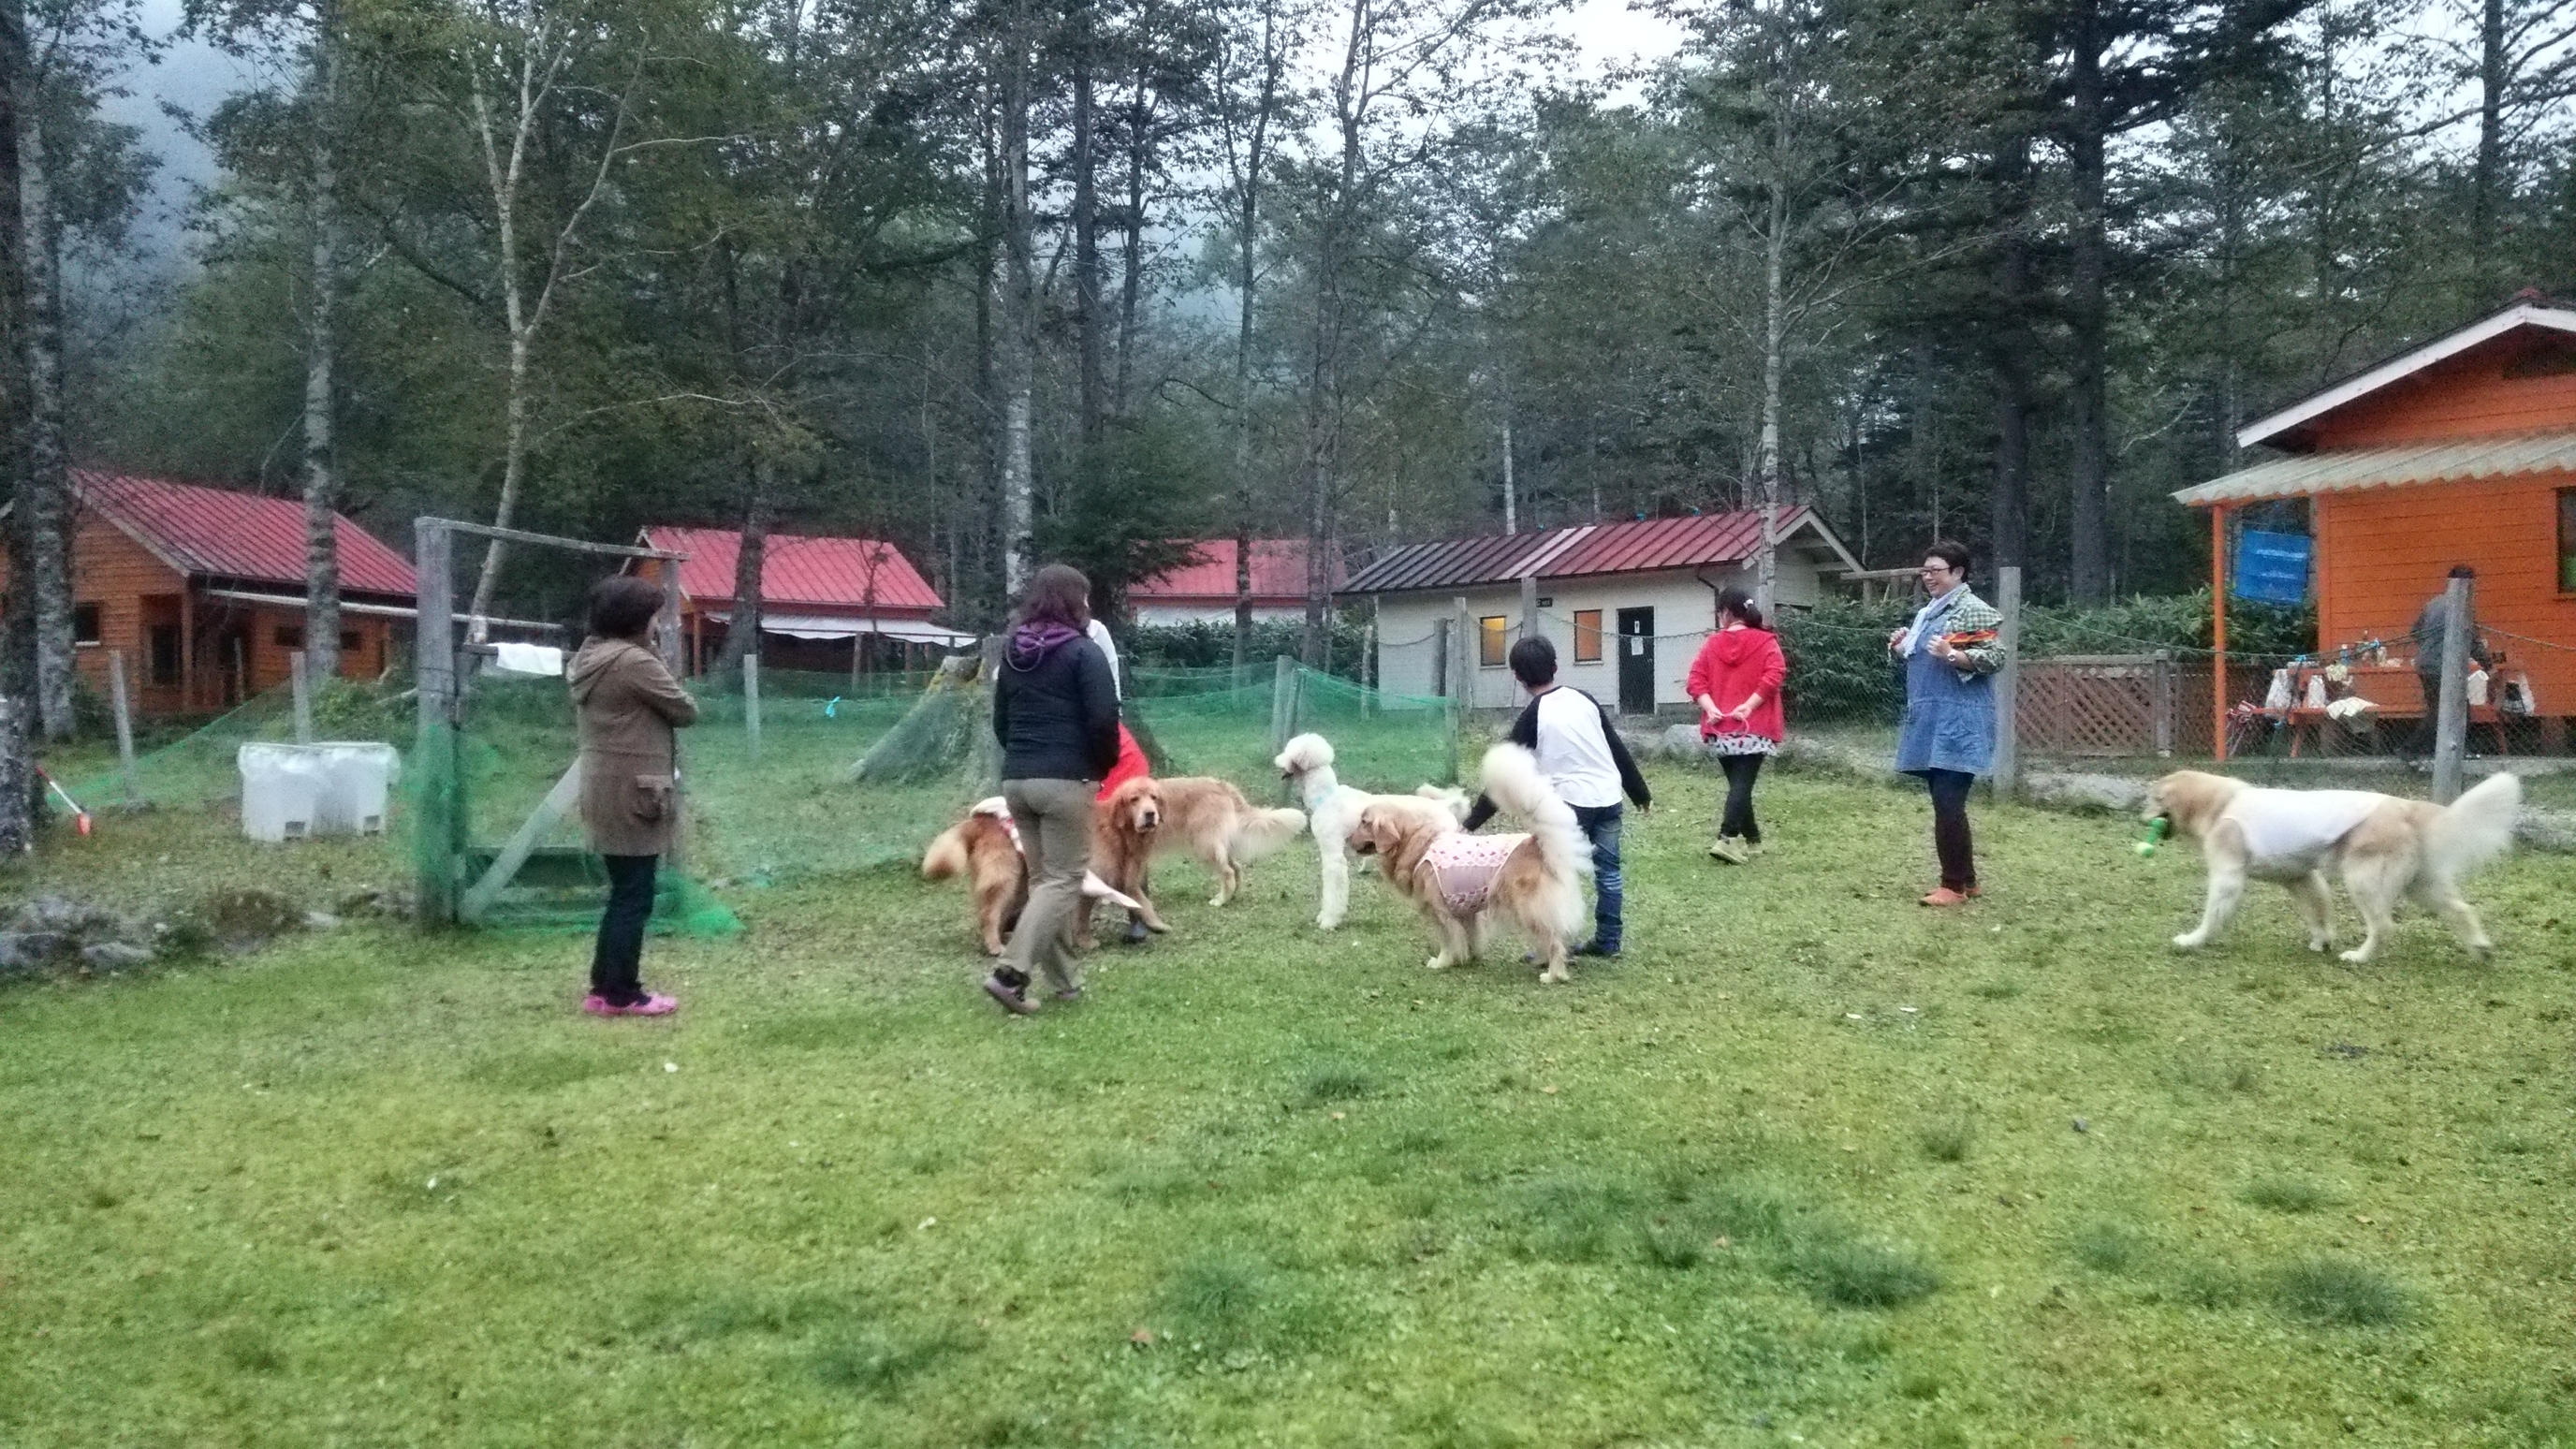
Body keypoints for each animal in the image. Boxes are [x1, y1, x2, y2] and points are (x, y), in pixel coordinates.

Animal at [1272, 732, 1473, 923]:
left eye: (1288, 751)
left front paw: (1329, 920)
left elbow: (1333, 889)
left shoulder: (1333, 855)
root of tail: (1444, 806)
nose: (1277, 759)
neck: (1327, 797)